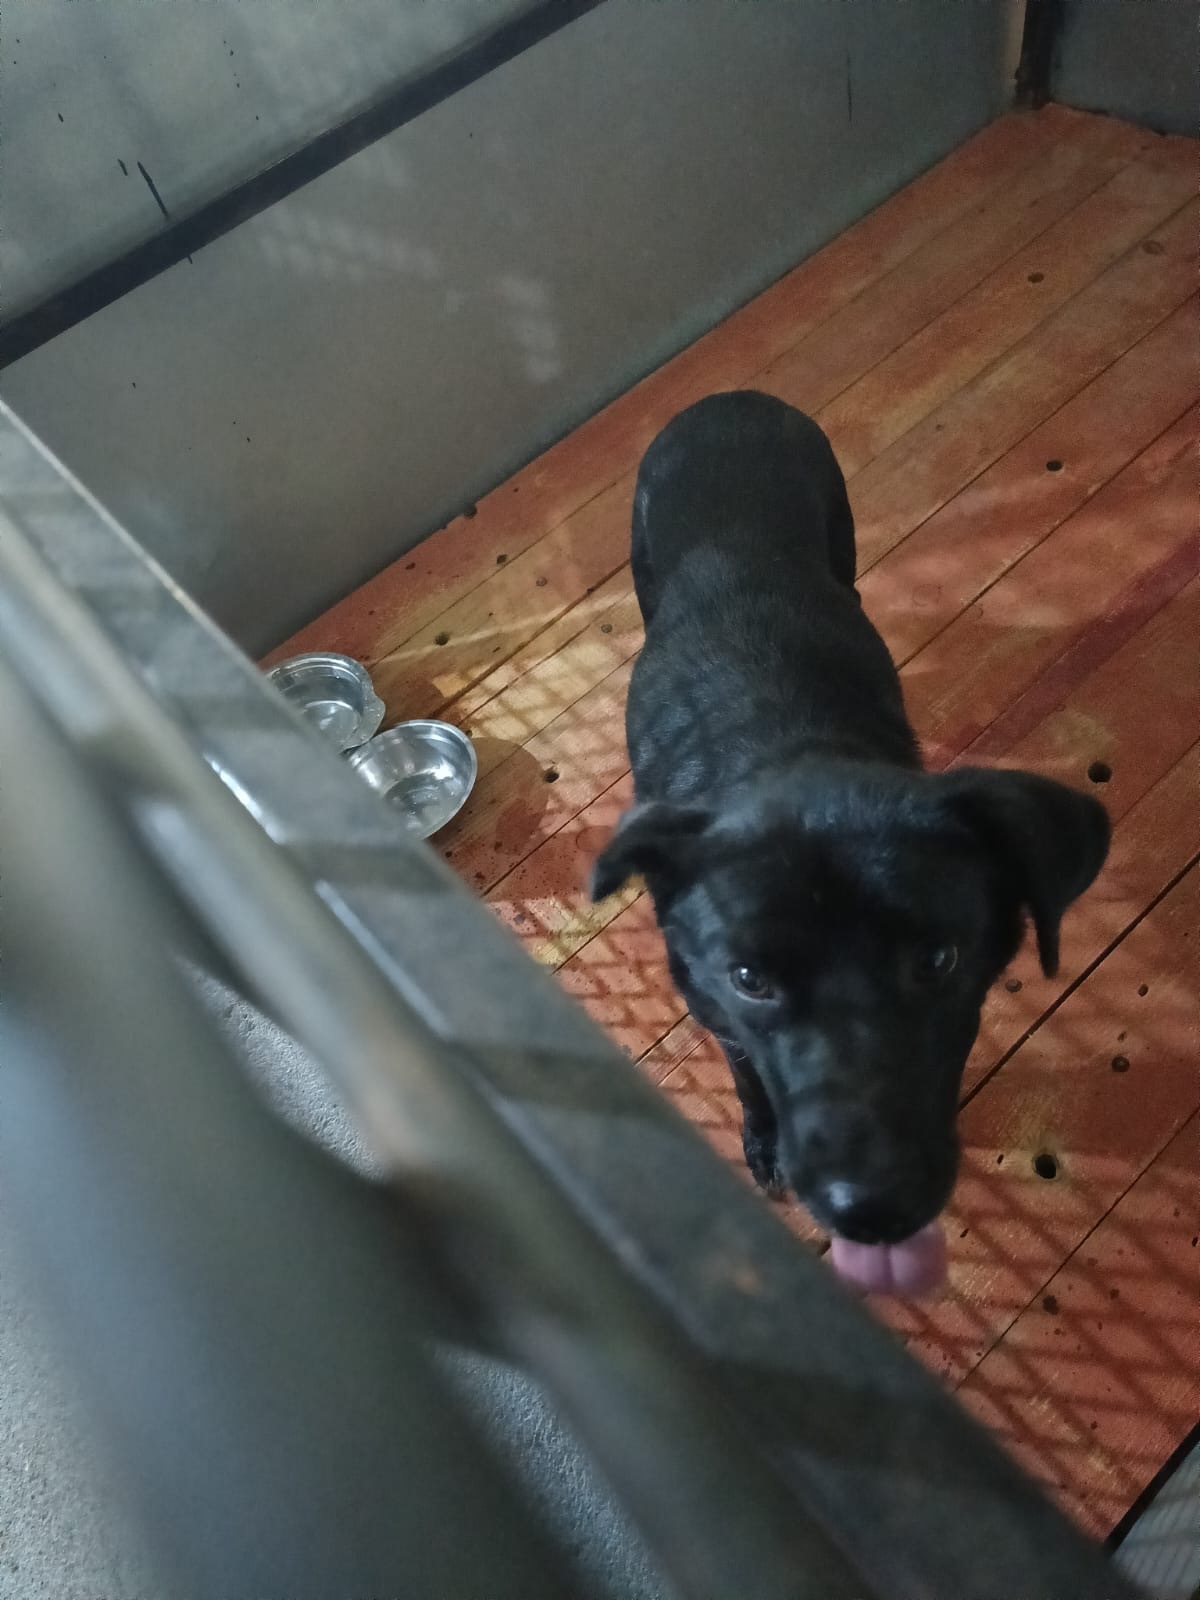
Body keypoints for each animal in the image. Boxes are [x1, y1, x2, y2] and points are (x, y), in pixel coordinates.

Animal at [591, 391, 1110, 1292]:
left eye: (938, 960)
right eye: (750, 978)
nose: (874, 1209)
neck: (794, 751)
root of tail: (730, 400)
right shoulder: (716, 1011)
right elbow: (747, 1075)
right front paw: (762, 1138)